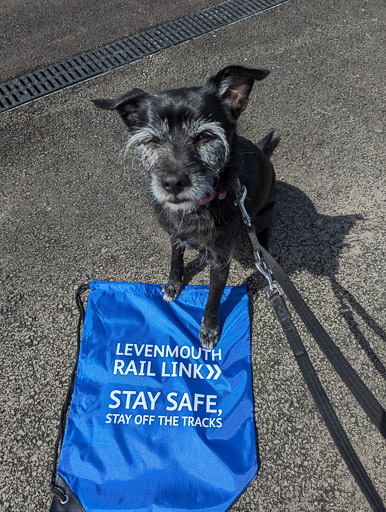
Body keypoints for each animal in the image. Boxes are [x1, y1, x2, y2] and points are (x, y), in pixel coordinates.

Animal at [92, 64, 274, 350]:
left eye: (205, 137)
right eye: (152, 140)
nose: (173, 183)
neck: (197, 209)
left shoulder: (221, 262)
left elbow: (213, 299)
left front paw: (209, 329)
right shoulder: (174, 235)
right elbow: (175, 260)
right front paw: (173, 284)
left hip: (263, 215)